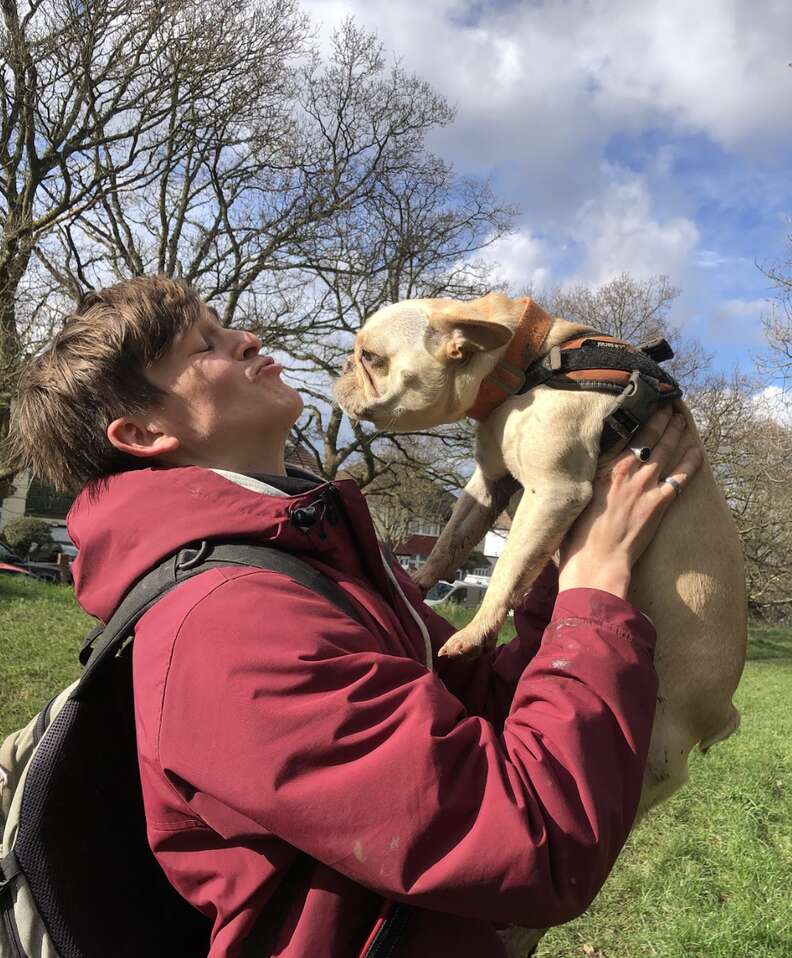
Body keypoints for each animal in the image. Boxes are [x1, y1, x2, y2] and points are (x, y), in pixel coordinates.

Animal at [338, 294, 744, 832]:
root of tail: (722, 714)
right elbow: (452, 538)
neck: (523, 364)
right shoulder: (488, 485)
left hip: (655, 751)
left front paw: (475, 632)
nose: (341, 369)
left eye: (372, 358)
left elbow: (507, 570)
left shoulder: (552, 492)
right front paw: (418, 581)